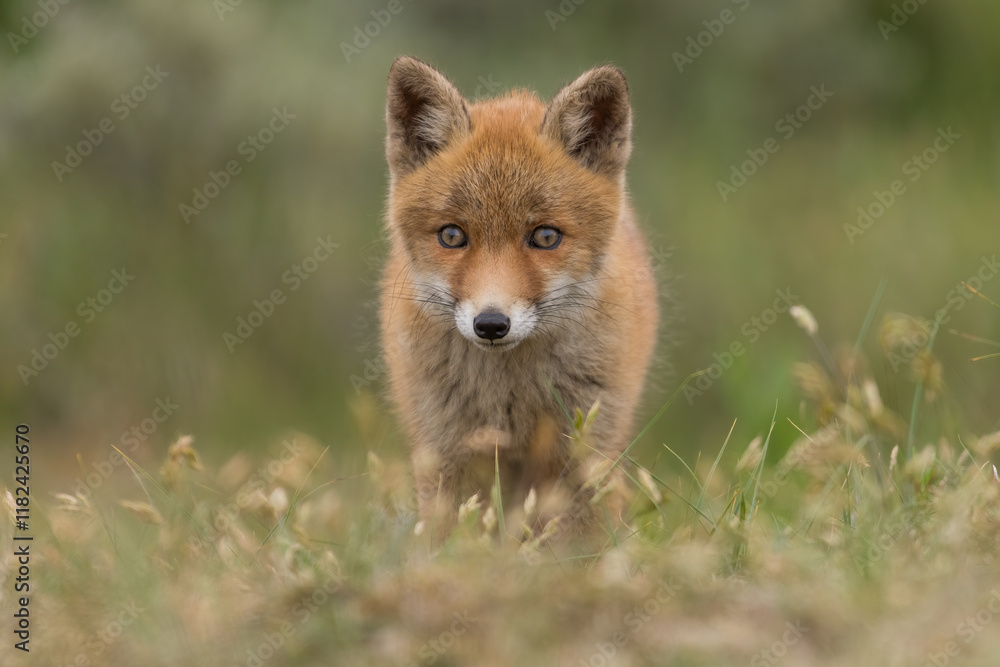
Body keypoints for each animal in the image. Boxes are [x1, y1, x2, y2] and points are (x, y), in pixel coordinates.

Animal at [380, 56, 658, 542]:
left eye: (545, 237)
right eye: (452, 236)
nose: (491, 324)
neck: (508, 394)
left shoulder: (580, 451)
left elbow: (581, 544)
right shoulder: (448, 454)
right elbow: (450, 540)